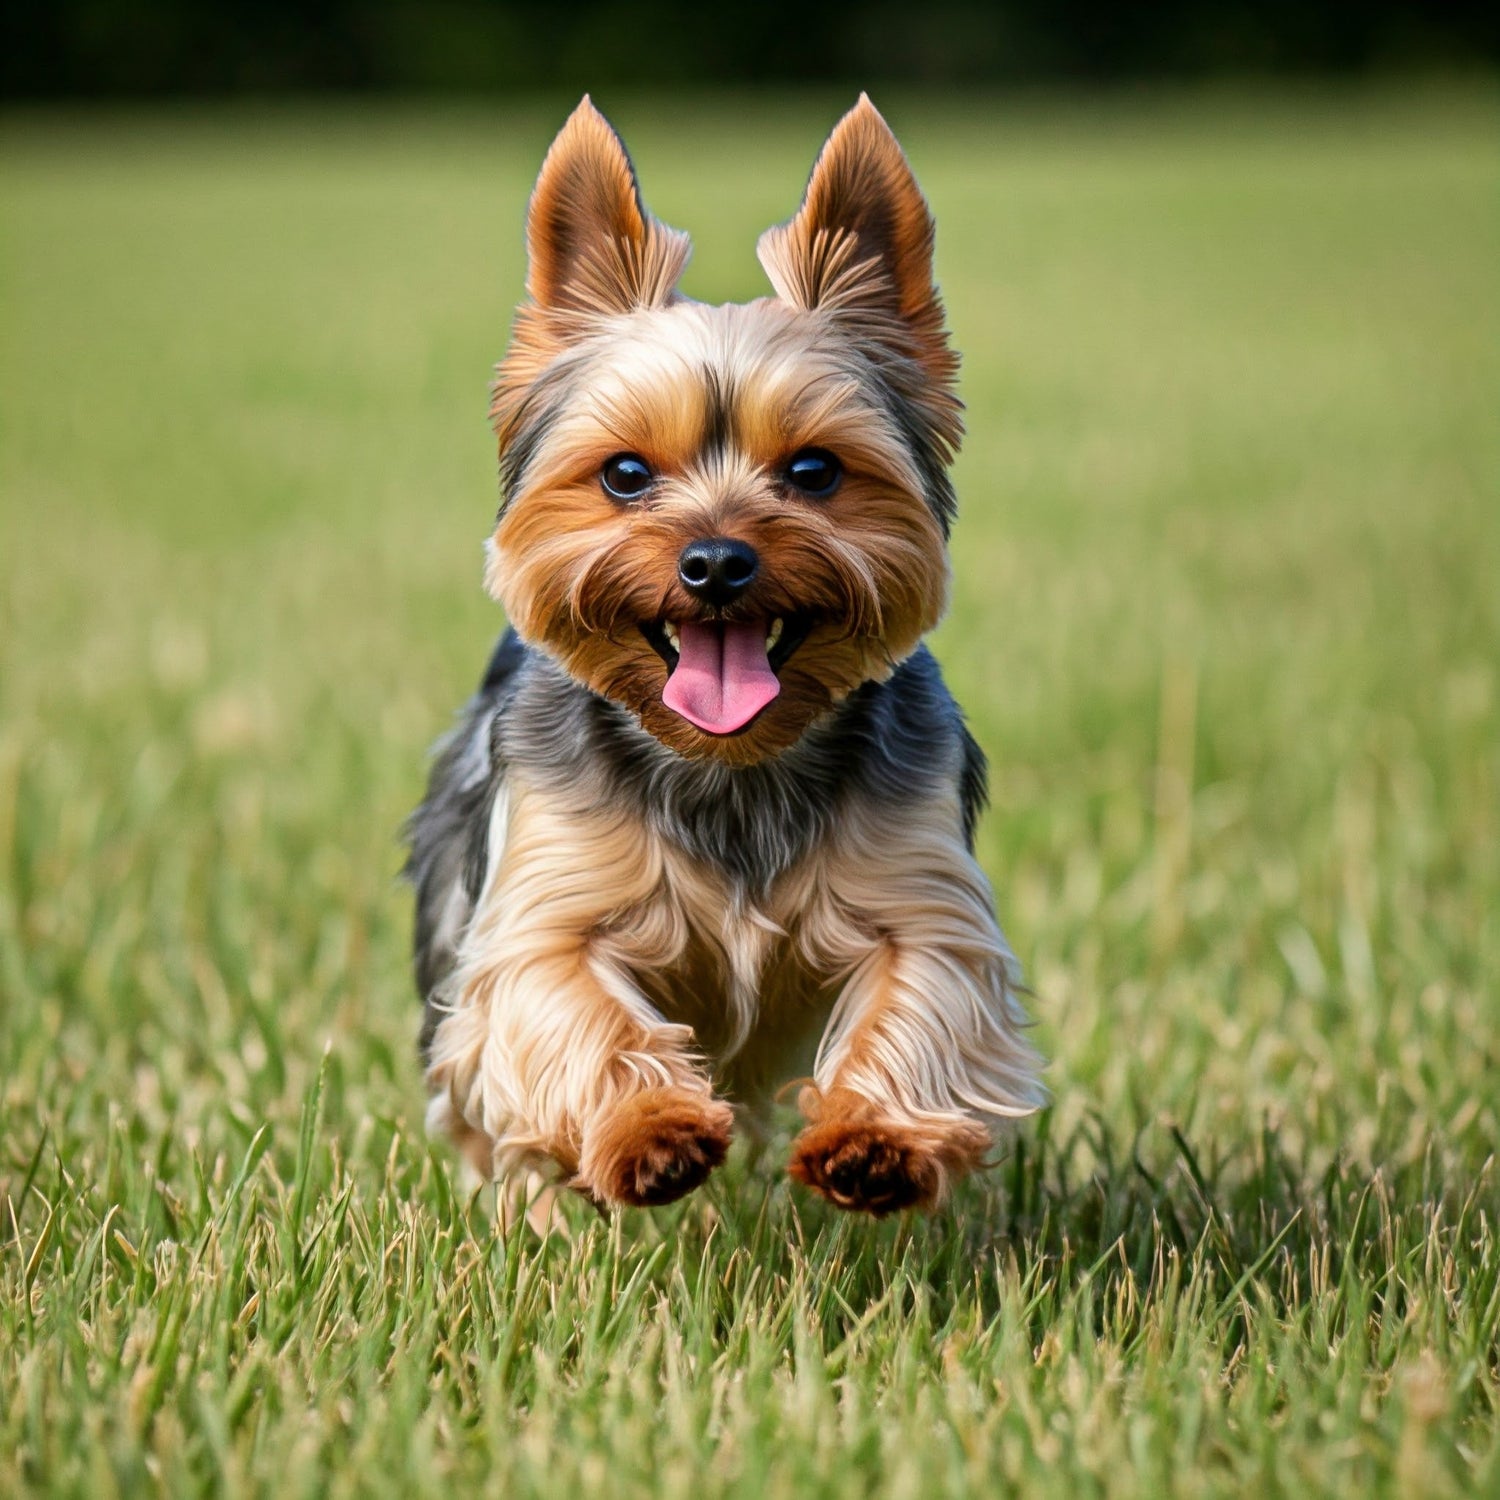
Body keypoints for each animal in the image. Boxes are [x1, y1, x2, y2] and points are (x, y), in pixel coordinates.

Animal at [405, 93, 1050, 1218]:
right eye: (624, 474)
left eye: (815, 470)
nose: (714, 562)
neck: (732, 765)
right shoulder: (540, 903)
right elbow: (567, 1006)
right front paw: (652, 1134)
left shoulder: (921, 887)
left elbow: (925, 996)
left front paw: (875, 1141)